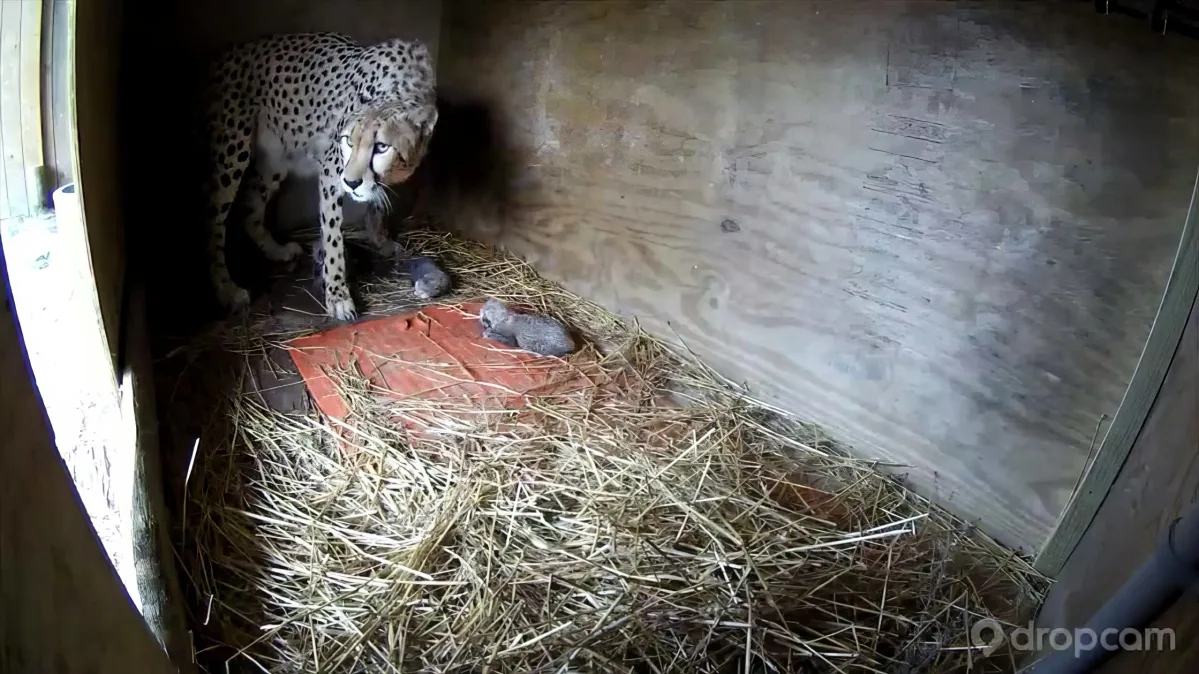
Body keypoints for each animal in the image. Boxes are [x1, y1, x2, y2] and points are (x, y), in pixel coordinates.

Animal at [199, 31, 449, 322]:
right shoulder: (331, 172)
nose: (351, 183)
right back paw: (226, 289)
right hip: (231, 150)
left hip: (275, 158)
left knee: (250, 207)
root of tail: (224, 57)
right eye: (349, 141)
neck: (400, 88)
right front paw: (338, 296)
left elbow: (375, 204)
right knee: (214, 220)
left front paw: (380, 240)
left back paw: (277, 250)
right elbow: (332, 238)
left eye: (381, 147)